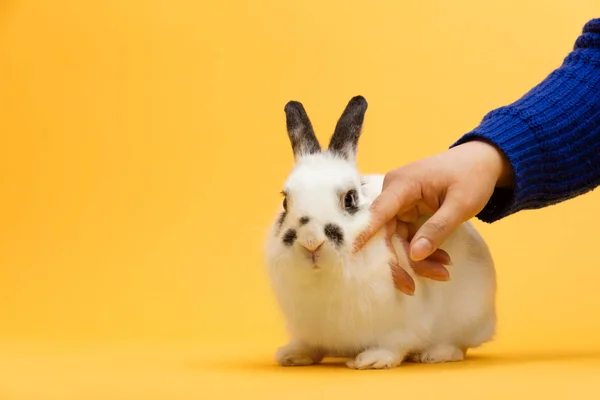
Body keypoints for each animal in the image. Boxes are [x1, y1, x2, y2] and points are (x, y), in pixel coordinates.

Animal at [264, 95, 496, 370]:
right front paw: (292, 355)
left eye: (350, 199)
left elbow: (394, 345)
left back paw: (435, 354)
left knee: (460, 346)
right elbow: (310, 345)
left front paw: (371, 360)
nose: (311, 241)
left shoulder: (403, 322)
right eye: (285, 202)